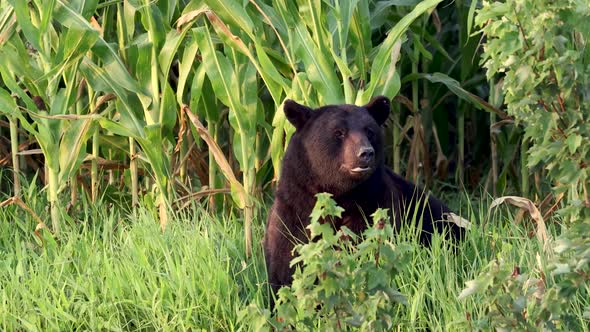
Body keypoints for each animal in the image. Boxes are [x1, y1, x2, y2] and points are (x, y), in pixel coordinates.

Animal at [264, 95, 468, 298]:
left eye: (370, 131)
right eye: (339, 132)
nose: (366, 153)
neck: (340, 194)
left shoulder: (373, 204)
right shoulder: (294, 207)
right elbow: (286, 258)